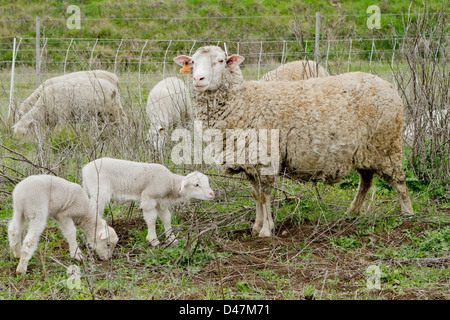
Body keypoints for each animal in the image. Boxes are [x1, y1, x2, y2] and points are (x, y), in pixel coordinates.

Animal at [81, 157, 215, 245]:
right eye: (196, 184)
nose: (212, 194)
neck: (169, 182)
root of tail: (85, 169)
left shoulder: (162, 202)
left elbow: (167, 218)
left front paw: (171, 239)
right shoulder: (149, 198)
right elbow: (152, 219)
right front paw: (153, 240)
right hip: (99, 192)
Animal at [175, 45, 414, 238]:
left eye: (221, 61)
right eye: (192, 62)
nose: (198, 80)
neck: (243, 102)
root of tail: (388, 86)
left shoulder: (265, 157)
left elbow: (265, 195)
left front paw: (266, 230)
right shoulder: (250, 161)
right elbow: (255, 195)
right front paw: (256, 227)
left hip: (387, 144)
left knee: (398, 180)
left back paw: (408, 215)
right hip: (363, 149)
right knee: (366, 181)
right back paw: (352, 212)